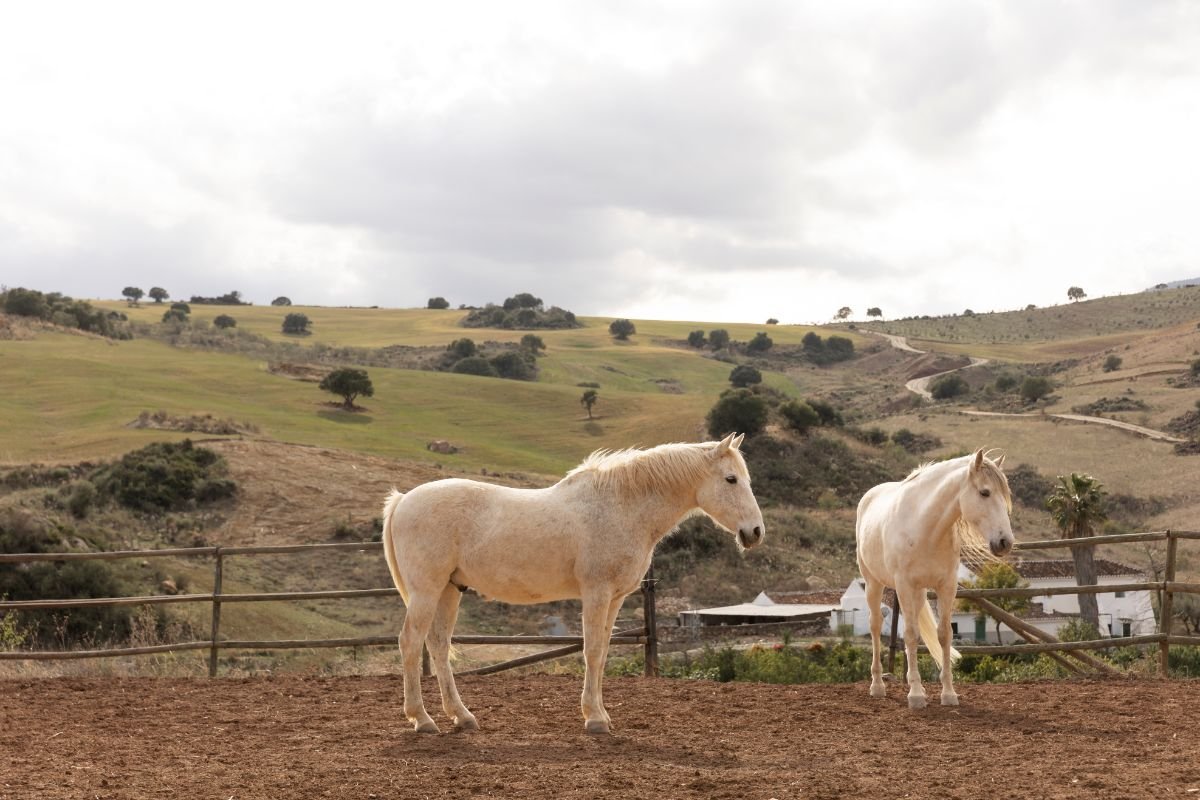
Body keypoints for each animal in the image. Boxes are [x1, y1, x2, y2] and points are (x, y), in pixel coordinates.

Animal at [379, 434, 763, 734]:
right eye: (731, 479)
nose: (755, 532)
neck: (621, 507)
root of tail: (402, 500)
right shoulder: (596, 593)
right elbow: (591, 650)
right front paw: (594, 719)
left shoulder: (615, 599)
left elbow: (603, 652)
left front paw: (602, 714)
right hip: (426, 591)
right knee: (411, 643)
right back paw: (422, 720)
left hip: (449, 590)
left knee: (438, 646)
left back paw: (462, 717)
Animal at [854, 450, 1012, 714]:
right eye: (984, 492)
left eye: (1005, 496)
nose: (1005, 542)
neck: (925, 528)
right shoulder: (904, 586)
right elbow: (909, 635)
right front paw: (916, 695)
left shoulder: (946, 587)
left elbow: (944, 634)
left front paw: (948, 693)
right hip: (874, 583)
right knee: (875, 626)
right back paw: (877, 685)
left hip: (918, 593)